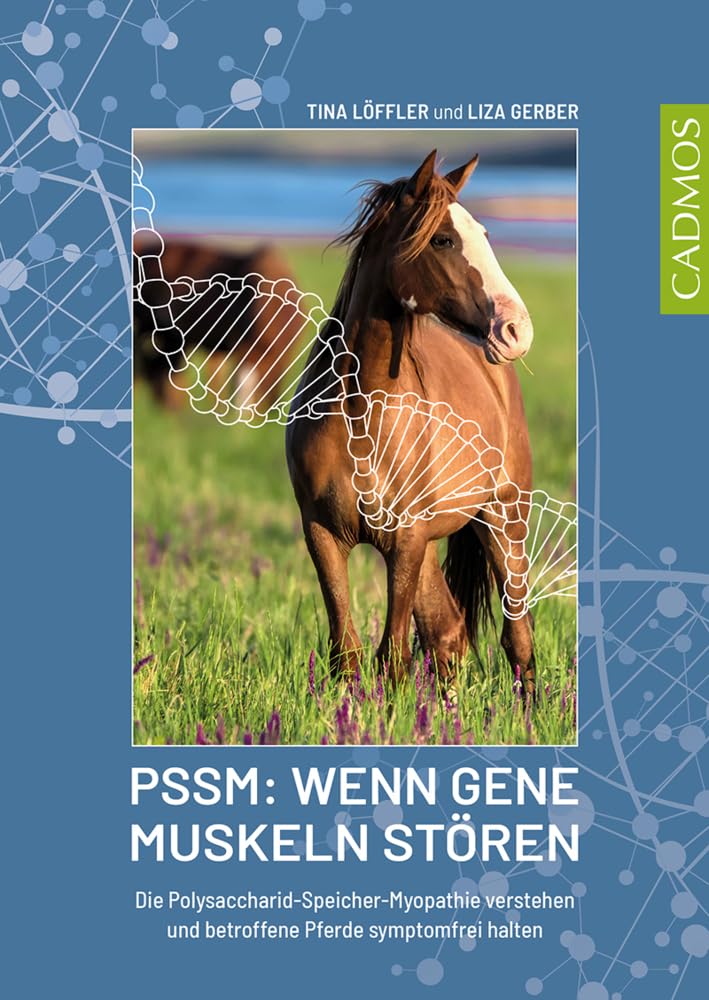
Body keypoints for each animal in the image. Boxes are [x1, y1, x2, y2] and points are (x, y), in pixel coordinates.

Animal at [286, 150, 538, 695]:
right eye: (442, 239)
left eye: (485, 233)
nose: (516, 329)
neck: (360, 414)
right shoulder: (323, 535)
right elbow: (348, 655)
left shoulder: (405, 541)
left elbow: (392, 659)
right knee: (449, 633)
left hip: (503, 522)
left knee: (518, 640)